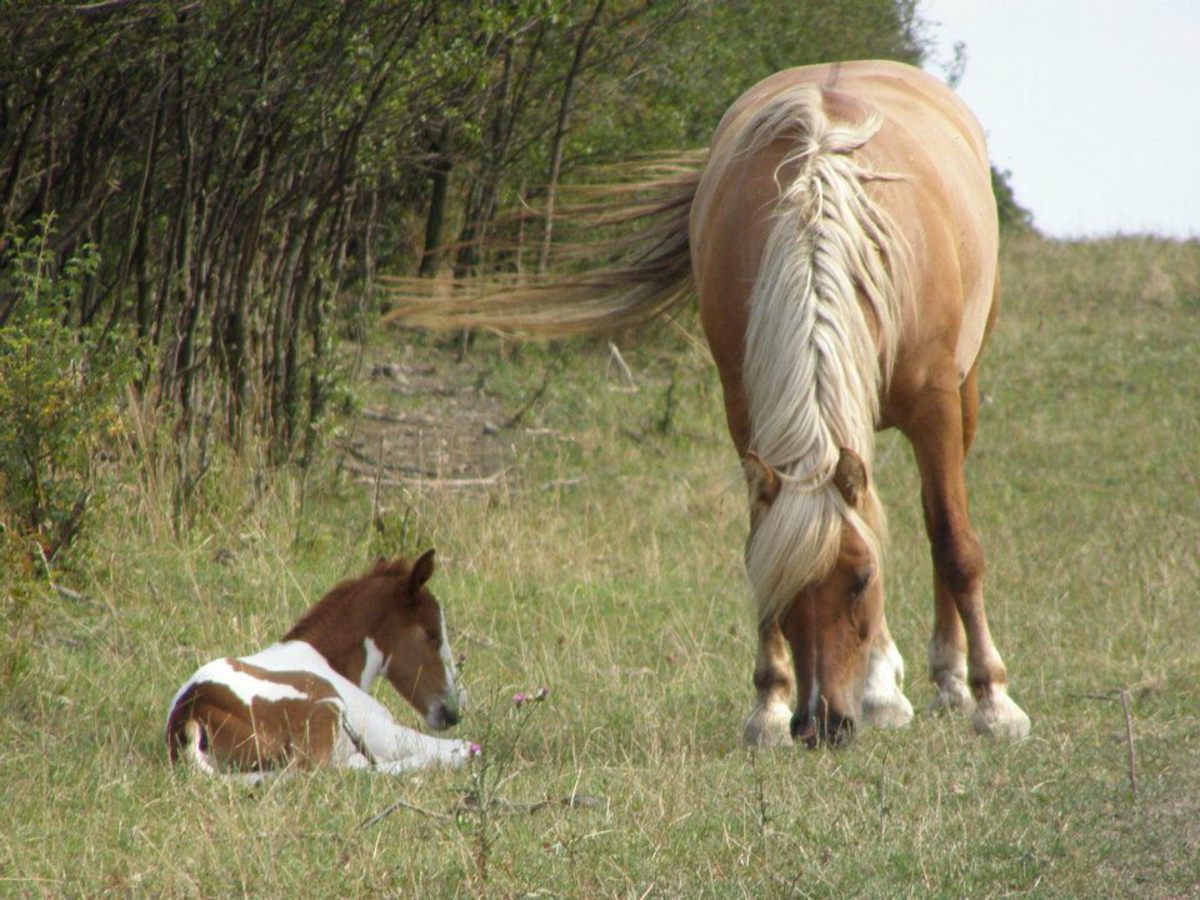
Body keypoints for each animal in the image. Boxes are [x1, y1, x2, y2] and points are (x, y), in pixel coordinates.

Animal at [166, 549, 475, 782]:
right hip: (330, 712)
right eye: (432, 636)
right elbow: (462, 748)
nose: (453, 710)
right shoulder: (378, 727)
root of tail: (192, 714)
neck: (327, 662)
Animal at [391, 61, 1032, 748]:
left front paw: (994, 700)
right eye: (776, 587)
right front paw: (769, 705)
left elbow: (954, 543)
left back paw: (945, 680)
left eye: (861, 580)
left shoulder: (935, 404)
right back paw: (883, 687)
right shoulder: (746, 409)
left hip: (964, 392)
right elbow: (765, 536)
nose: (821, 724)